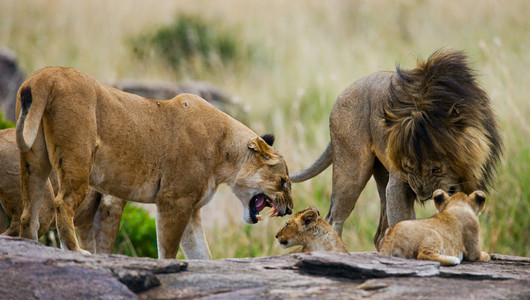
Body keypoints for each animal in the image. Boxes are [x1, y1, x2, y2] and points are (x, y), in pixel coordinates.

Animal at [14, 67, 292, 258]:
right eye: (284, 182)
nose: (289, 210)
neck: (225, 152)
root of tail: (44, 76)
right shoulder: (174, 200)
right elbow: (167, 253)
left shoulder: (192, 210)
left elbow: (202, 254)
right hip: (77, 160)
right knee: (62, 204)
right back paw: (76, 251)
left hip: (33, 162)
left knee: (28, 213)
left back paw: (30, 245)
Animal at [290, 51, 502, 248]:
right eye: (408, 168)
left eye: (436, 168)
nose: (422, 195)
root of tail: (344, 91)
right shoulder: (398, 183)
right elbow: (403, 219)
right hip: (351, 169)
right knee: (334, 218)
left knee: (379, 234)